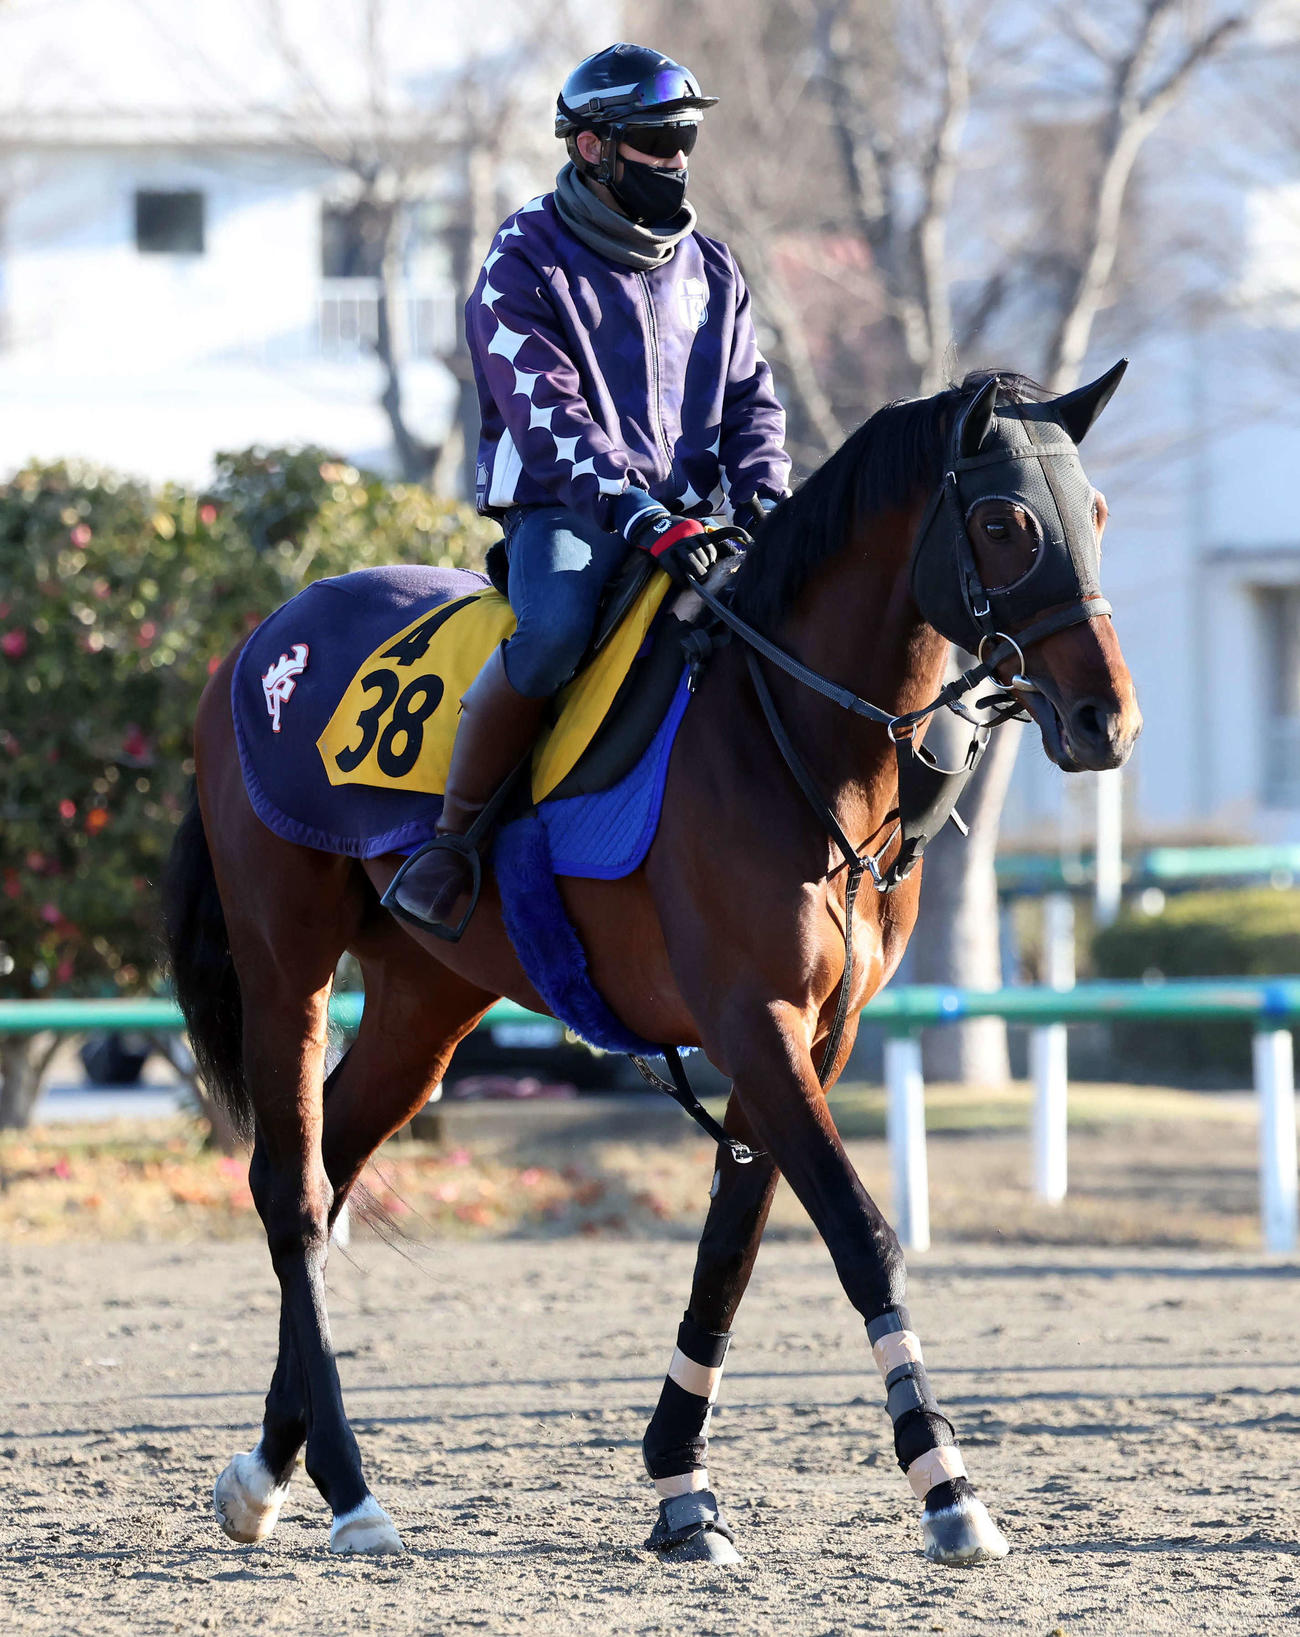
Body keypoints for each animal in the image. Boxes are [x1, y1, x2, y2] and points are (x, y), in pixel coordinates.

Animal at [163, 366, 1141, 1568]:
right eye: (1005, 522)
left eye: (1094, 513)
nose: (1106, 720)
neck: (789, 737)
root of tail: (256, 645)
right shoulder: (752, 1019)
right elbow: (861, 1233)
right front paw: (945, 1482)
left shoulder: (814, 1036)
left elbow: (732, 1246)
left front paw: (682, 1482)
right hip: (285, 960)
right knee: (292, 1190)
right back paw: (349, 1488)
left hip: (426, 997)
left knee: (333, 1160)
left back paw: (267, 1465)